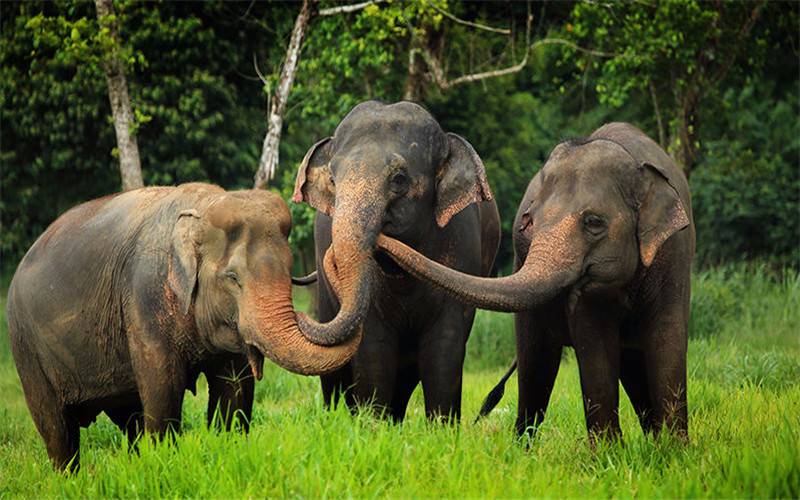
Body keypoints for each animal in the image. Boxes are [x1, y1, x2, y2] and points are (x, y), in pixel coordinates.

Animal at [5, 182, 362, 470]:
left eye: (289, 270)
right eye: (233, 278)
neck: (203, 208)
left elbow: (234, 390)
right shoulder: (144, 298)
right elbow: (163, 388)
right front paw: (166, 465)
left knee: (128, 418)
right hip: (25, 347)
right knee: (57, 429)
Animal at [292, 99, 500, 420]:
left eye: (399, 179)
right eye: (333, 180)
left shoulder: (462, 249)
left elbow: (445, 346)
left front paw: (442, 427)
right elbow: (373, 347)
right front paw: (370, 424)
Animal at [376, 123, 692, 444]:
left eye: (593, 222)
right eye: (528, 222)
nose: (381, 235)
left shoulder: (675, 252)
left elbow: (668, 338)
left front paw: (674, 450)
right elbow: (595, 345)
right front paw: (611, 452)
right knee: (536, 363)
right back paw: (522, 446)